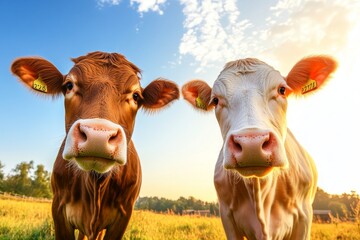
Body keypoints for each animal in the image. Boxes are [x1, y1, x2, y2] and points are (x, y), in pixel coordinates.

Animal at [10, 51, 179, 239]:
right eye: (69, 85)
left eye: (136, 96)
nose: (97, 136)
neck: (95, 184)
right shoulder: (59, 208)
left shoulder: (123, 215)